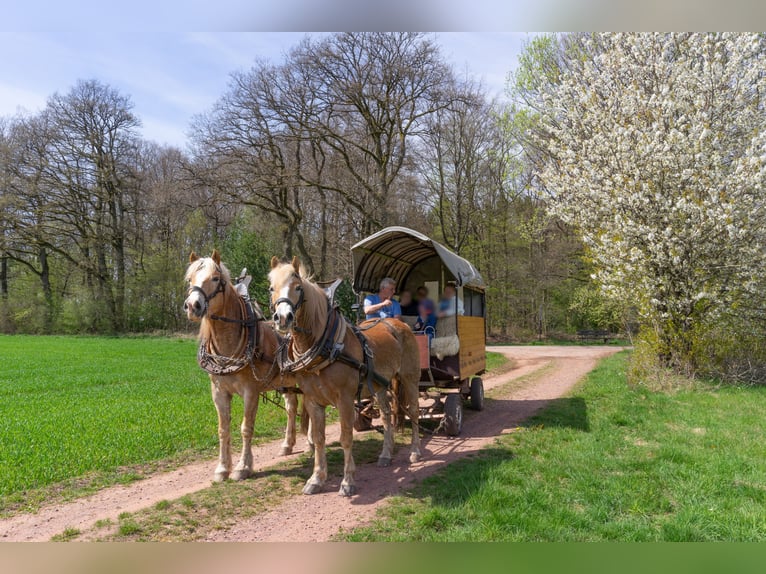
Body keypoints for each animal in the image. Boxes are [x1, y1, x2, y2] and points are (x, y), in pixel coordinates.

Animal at [183, 250, 312, 484]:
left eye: (215, 278)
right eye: (190, 280)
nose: (192, 306)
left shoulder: (250, 391)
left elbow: (246, 428)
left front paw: (242, 467)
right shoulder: (218, 392)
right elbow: (223, 429)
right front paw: (222, 468)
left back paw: (310, 443)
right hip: (286, 382)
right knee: (292, 407)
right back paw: (287, 445)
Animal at [268, 256, 426, 500]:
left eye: (298, 287)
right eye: (271, 288)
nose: (283, 318)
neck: (325, 347)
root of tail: (398, 323)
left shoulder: (344, 399)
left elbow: (345, 437)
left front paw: (348, 481)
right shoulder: (313, 400)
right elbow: (319, 438)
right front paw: (316, 479)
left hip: (409, 378)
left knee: (414, 410)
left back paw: (415, 451)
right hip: (379, 385)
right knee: (386, 415)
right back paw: (386, 454)